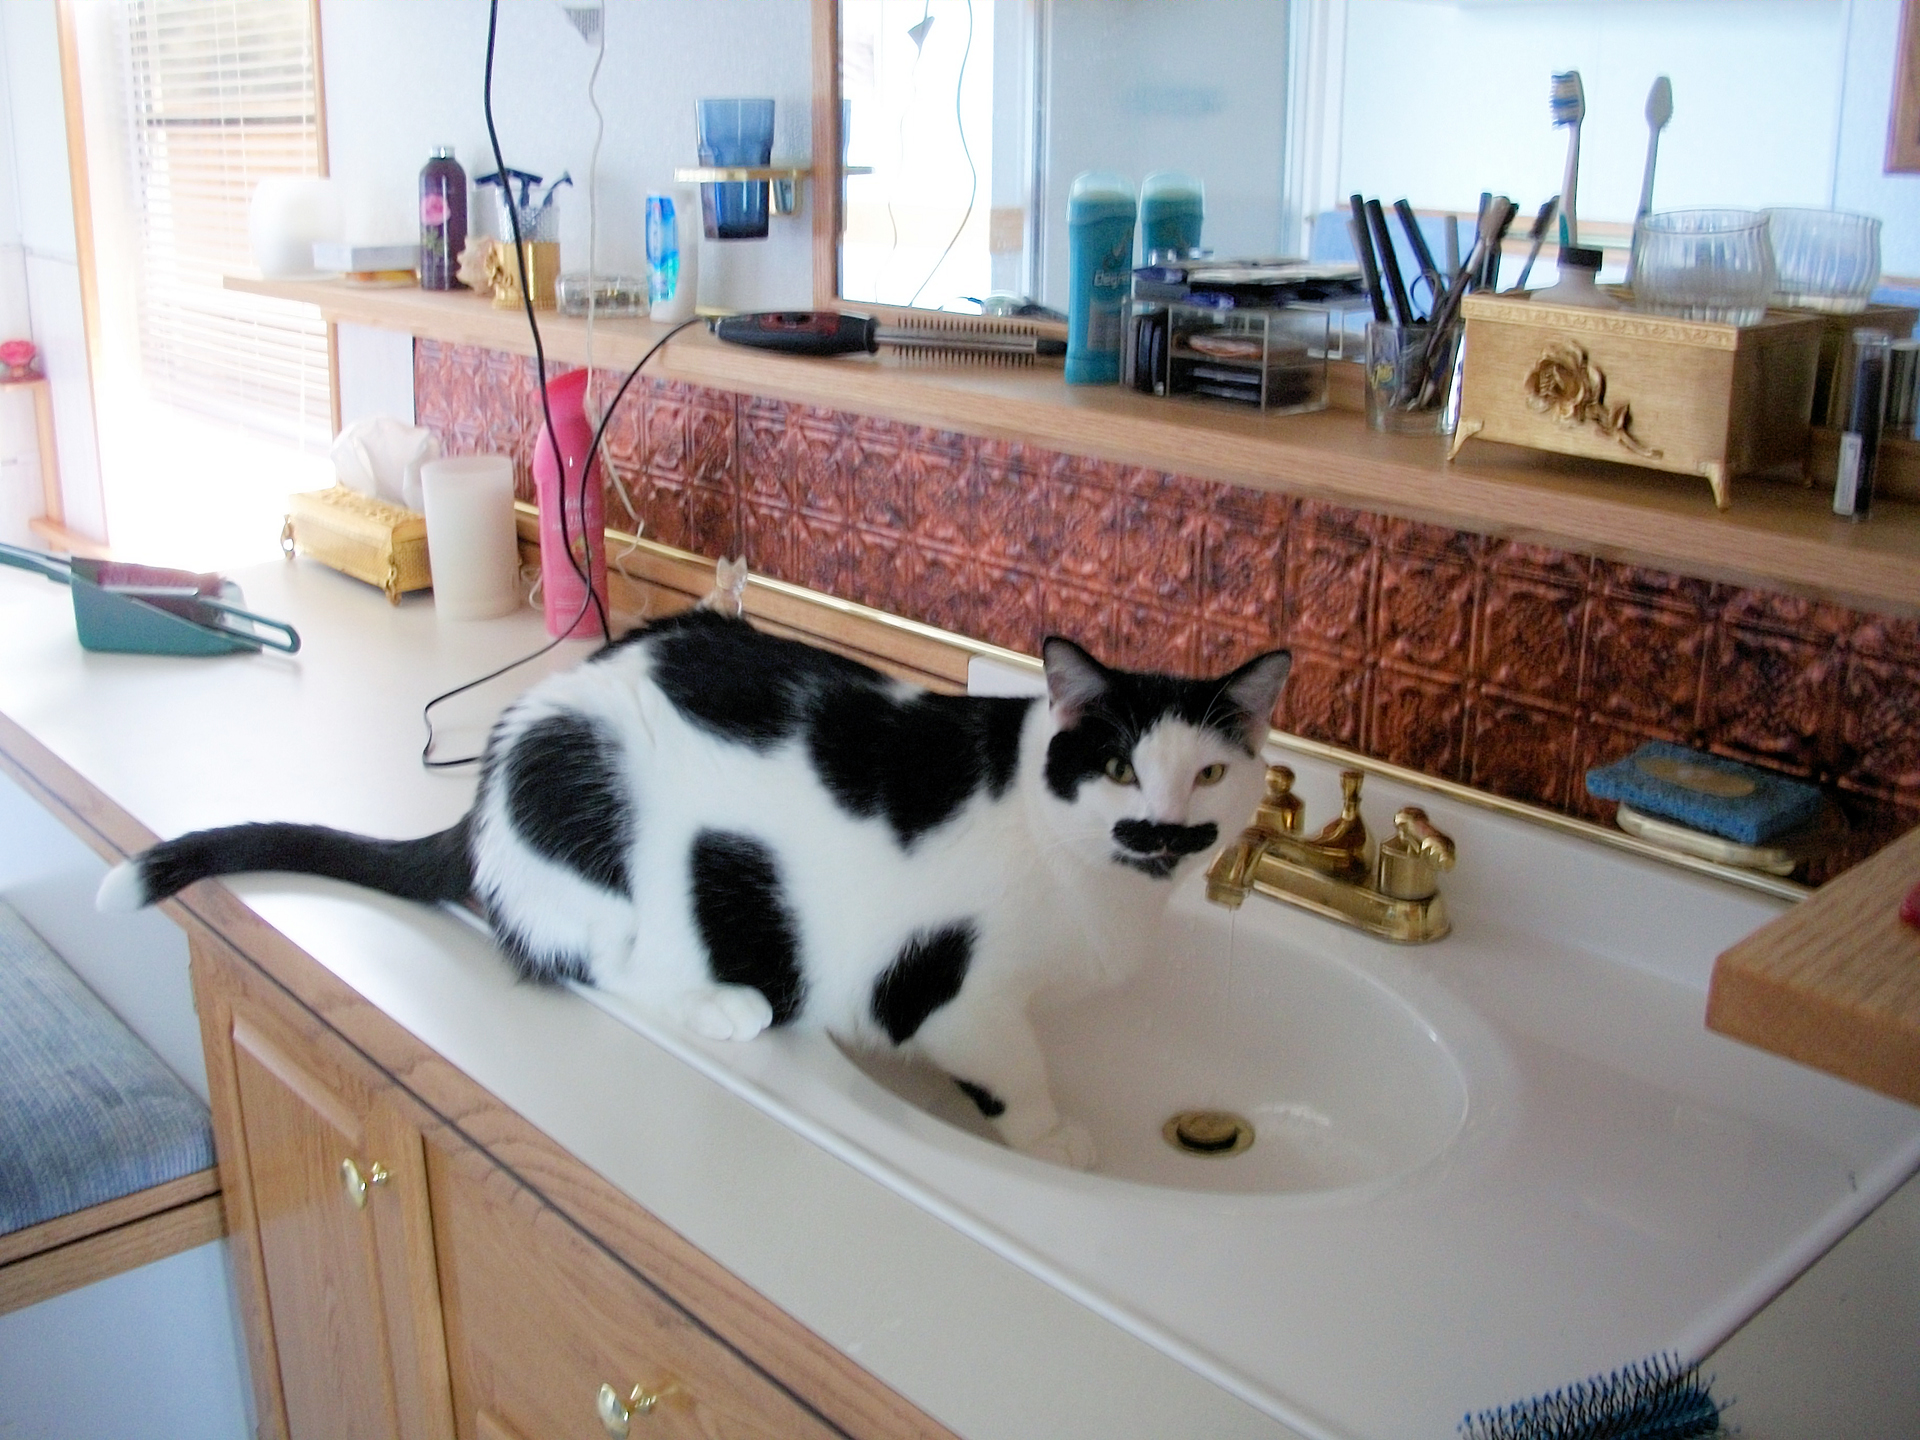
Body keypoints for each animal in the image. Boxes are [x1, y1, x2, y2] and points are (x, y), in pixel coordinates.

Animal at [97, 602, 1282, 1167]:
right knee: (593, 960)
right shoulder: (945, 993)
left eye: (1210, 775)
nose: (1164, 829)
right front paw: (1048, 1132)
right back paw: (724, 1003)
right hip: (590, 796)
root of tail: (485, 789)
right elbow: (1016, 1065)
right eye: (1121, 766)